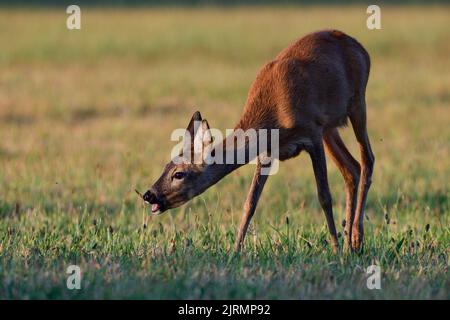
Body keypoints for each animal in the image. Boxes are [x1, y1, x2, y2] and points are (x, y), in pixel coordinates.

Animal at [142, 30, 374, 252]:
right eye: (165, 166)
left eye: (178, 174)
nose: (149, 194)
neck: (276, 115)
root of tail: (362, 49)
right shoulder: (268, 152)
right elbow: (250, 203)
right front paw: (235, 250)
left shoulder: (312, 133)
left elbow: (324, 196)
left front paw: (335, 250)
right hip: (330, 128)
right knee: (351, 168)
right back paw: (351, 244)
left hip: (357, 103)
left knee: (367, 159)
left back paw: (355, 239)